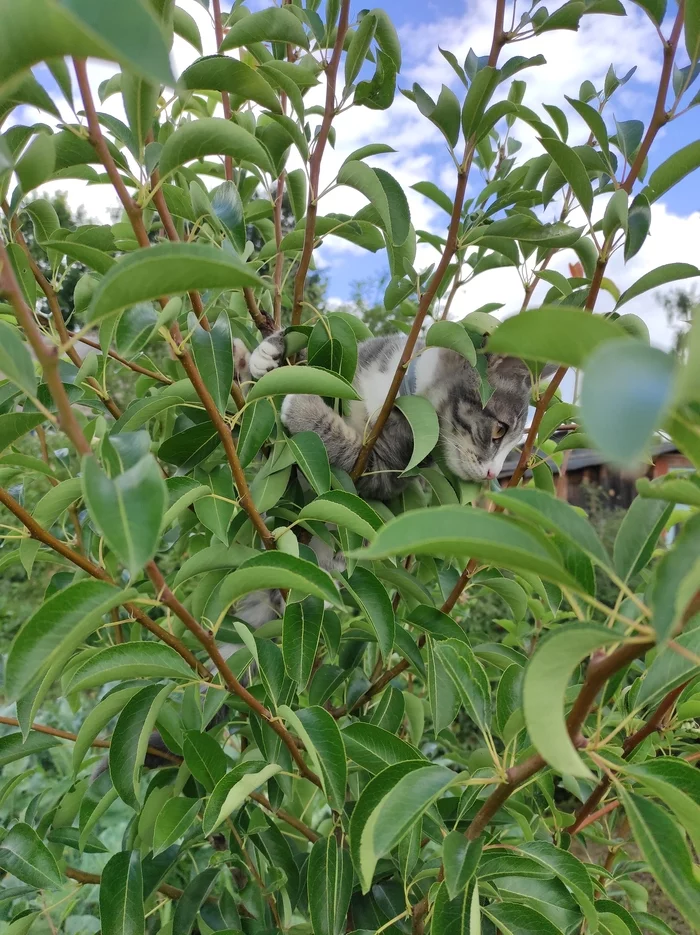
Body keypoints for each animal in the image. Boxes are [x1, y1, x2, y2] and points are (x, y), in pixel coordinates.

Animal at [238, 332, 544, 500]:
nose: (492, 473)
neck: (404, 396)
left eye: (511, 443)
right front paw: (265, 353)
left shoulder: (391, 468)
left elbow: (353, 459)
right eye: (499, 430)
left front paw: (302, 407)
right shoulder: (354, 359)